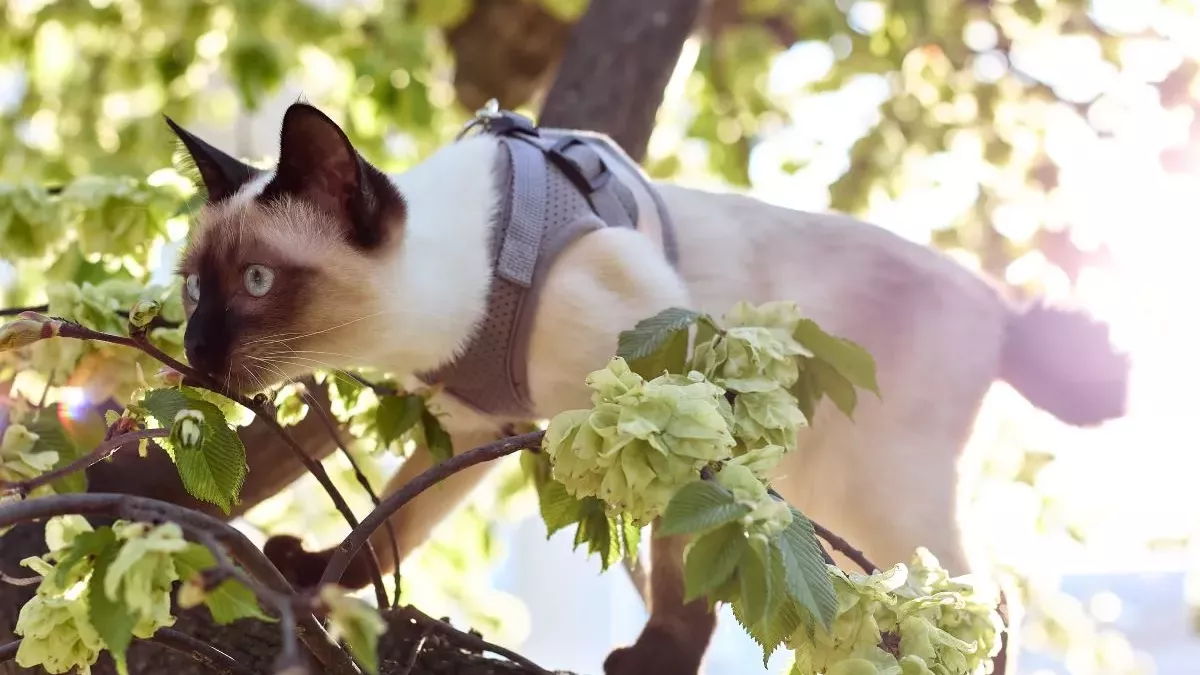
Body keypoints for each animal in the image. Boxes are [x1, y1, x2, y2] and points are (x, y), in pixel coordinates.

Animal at [169, 100, 1132, 672]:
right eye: (191, 289)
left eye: (255, 283)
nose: (198, 349)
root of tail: (999, 303)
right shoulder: (482, 426)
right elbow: (392, 522)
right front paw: (314, 571)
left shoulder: (679, 405)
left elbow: (686, 564)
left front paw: (656, 656)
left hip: (873, 491)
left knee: (983, 600)